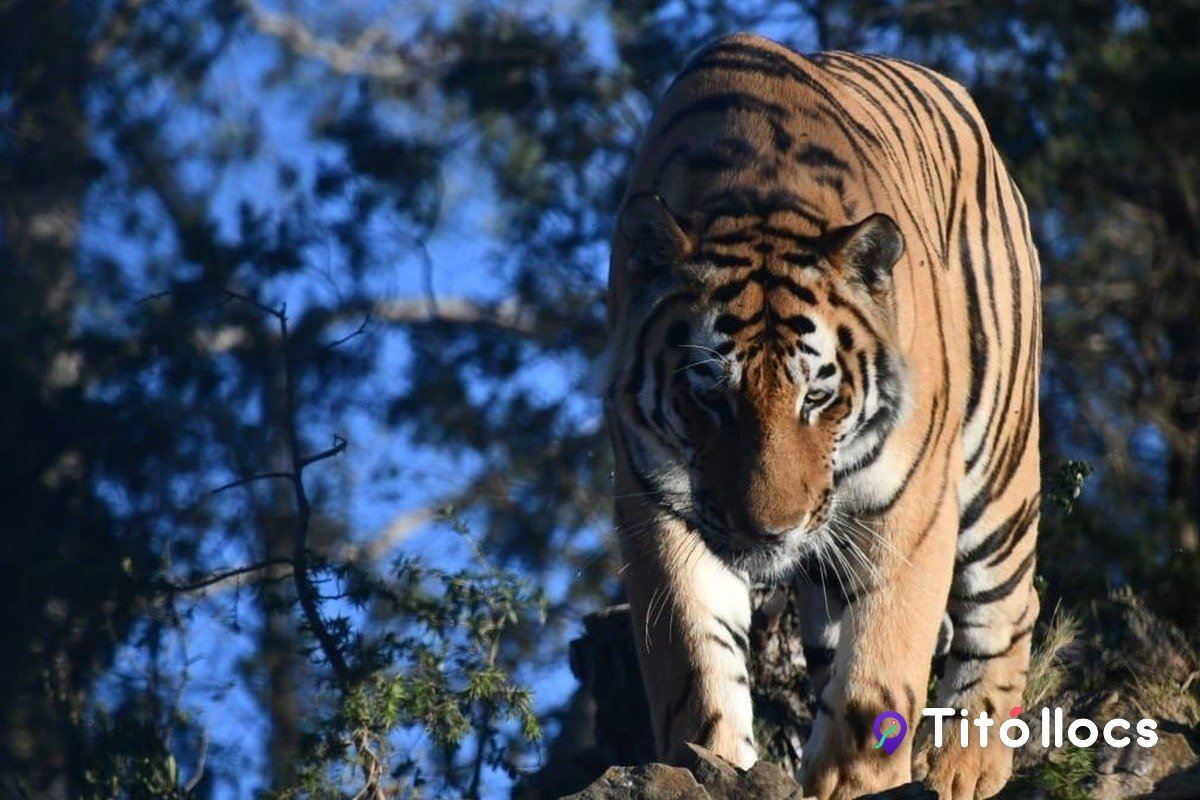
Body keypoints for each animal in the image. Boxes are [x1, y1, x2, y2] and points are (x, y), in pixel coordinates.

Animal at [603, 33, 1041, 800]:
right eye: (709, 395)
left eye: (816, 397)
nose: (769, 530)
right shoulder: (655, 499)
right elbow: (696, 662)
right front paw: (711, 763)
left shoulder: (910, 503)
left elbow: (883, 663)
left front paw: (855, 779)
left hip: (998, 466)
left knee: (1008, 609)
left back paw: (964, 766)